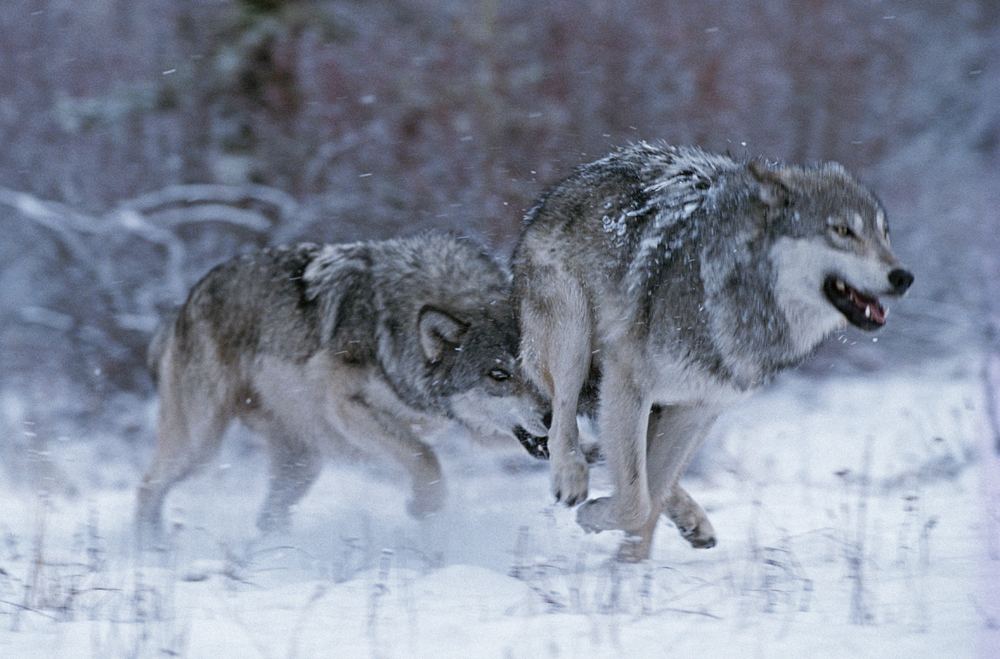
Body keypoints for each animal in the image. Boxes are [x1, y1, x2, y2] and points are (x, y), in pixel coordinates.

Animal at [136, 231, 549, 547]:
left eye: (538, 369)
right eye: (499, 374)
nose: (550, 415)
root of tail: (185, 302)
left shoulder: (476, 429)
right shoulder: (344, 403)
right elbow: (424, 455)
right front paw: (423, 507)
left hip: (303, 465)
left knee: (267, 518)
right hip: (200, 448)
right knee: (148, 487)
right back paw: (150, 548)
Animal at [512, 142, 913, 561]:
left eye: (884, 234)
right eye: (843, 230)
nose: (903, 277)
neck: (740, 292)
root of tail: (561, 186)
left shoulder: (698, 410)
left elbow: (648, 501)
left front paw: (627, 573)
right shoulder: (627, 382)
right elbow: (635, 503)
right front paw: (593, 520)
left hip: (662, 410)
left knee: (641, 472)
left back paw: (691, 520)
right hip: (573, 339)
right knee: (562, 421)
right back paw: (571, 478)